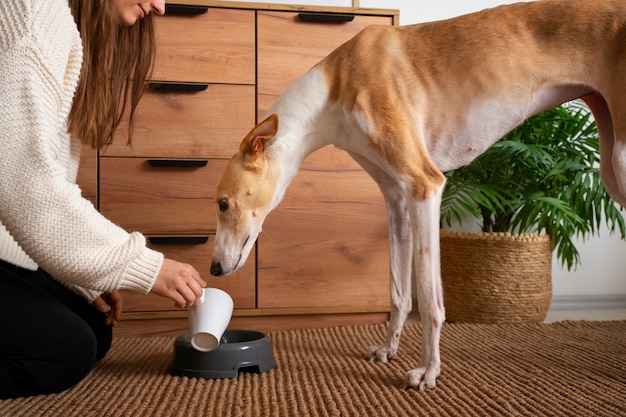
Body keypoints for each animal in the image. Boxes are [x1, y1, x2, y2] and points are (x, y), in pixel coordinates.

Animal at [208, 0, 624, 390]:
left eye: (223, 203)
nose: (213, 270)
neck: (334, 85)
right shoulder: (396, 198)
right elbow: (399, 291)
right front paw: (388, 349)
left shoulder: (425, 186)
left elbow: (427, 297)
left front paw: (428, 372)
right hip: (611, 168)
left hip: (619, 162)